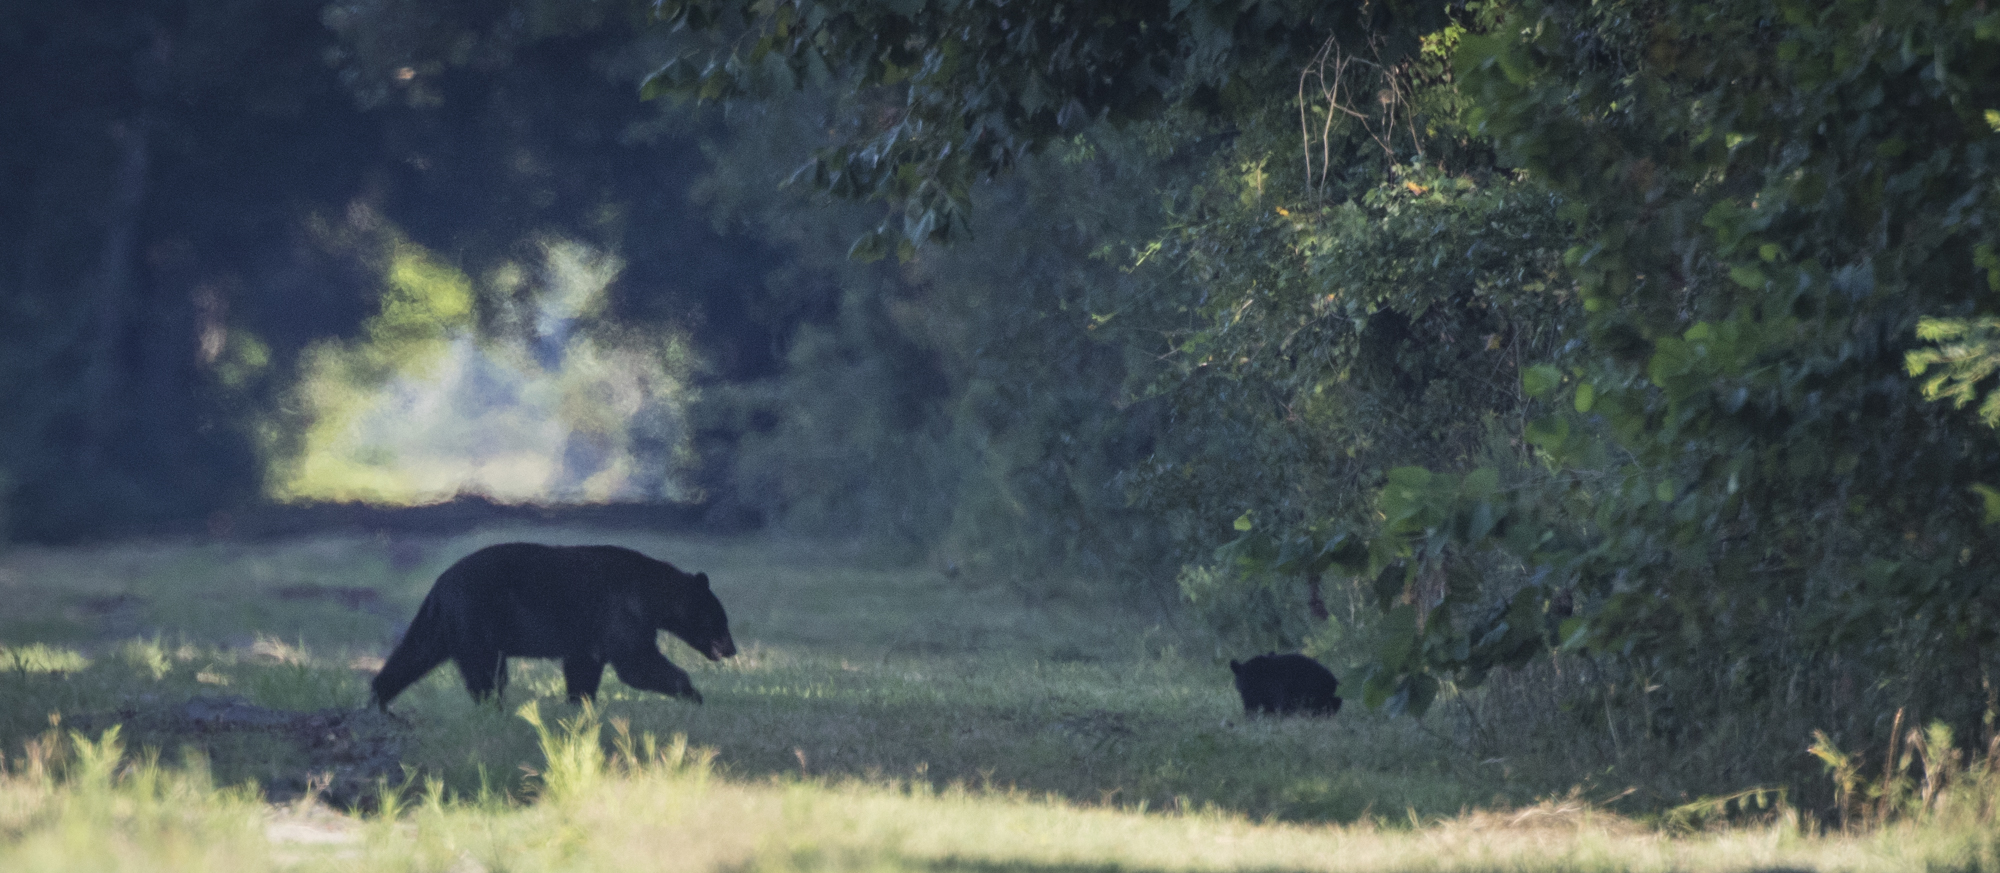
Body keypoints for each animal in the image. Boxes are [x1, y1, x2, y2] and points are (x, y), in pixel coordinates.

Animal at [370, 542, 736, 711]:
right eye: (721, 620)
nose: (732, 649)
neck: (651, 592)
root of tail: (440, 585)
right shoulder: (622, 610)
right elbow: (636, 661)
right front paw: (694, 695)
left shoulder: (590, 634)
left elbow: (584, 667)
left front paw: (580, 706)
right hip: (476, 618)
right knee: (487, 673)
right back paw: (495, 710)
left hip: (443, 623)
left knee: (414, 653)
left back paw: (380, 701)